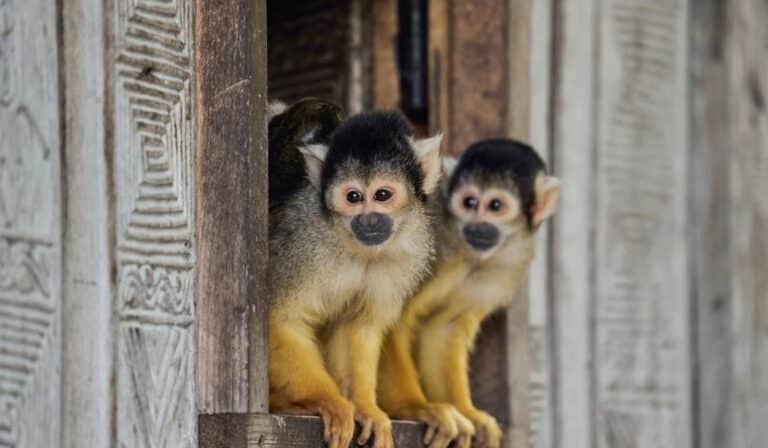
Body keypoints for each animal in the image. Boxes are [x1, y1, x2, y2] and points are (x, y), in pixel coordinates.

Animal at [268, 103, 444, 448]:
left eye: (382, 195)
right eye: (353, 197)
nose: (370, 221)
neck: (357, 248)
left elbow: (358, 325)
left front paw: (364, 408)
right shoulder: (302, 242)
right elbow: (281, 320)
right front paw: (329, 401)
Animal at [377, 138, 560, 448]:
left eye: (495, 206)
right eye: (470, 202)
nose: (477, 226)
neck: (465, 252)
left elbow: (445, 328)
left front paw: (467, 412)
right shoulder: (427, 248)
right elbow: (390, 317)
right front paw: (416, 407)